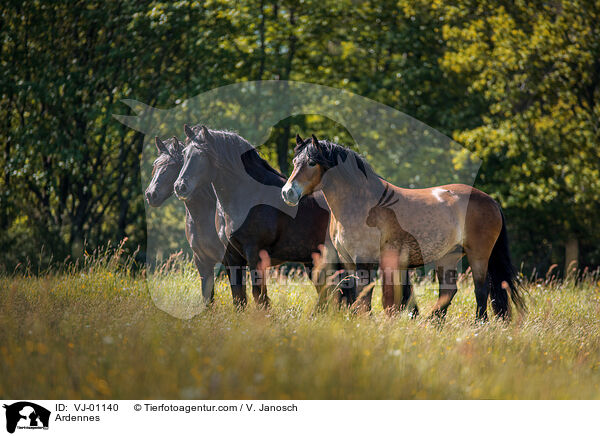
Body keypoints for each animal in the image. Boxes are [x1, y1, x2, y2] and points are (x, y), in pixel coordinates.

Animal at [173, 124, 350, 308]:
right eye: (184, 154)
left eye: (201, 154)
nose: (180, 186)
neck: (249, 196)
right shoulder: (232, 257)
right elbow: (238, 297)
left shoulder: (255, 254)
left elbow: (259, 296)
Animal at [282, 134, 524, 320]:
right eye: (294, 161)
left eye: (312, 162)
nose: (287, 193)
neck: (361, 202)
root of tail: (490, 201)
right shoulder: (349, 261)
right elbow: (356, 296)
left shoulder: (365, 261)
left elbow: (366, 297)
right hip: (449, 256)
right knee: (448, 291)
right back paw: (433, 323)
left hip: (478, 255)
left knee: (481, 291)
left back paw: (478, 325)